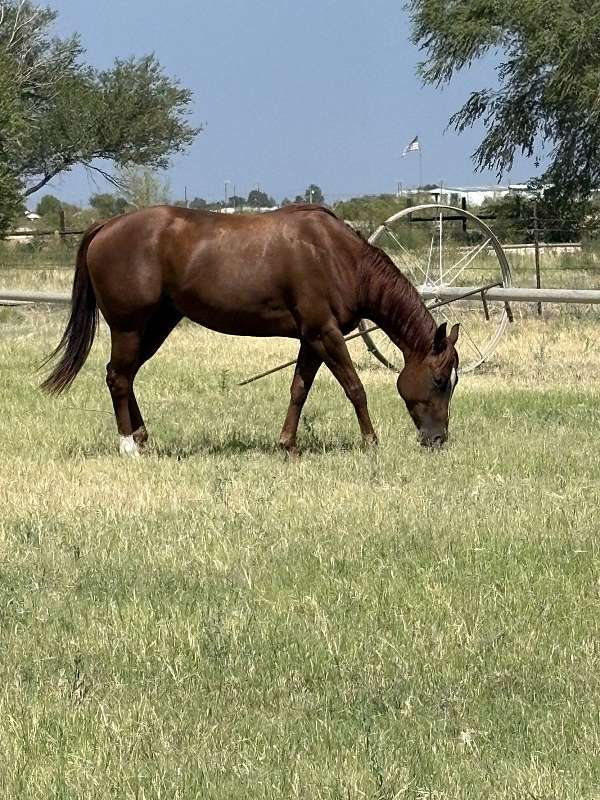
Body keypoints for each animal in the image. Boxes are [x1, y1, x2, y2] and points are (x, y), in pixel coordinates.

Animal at [41, 204, 459, 456]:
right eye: (440, 380)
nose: (438, 439)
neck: (337, 256)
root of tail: (106, 225)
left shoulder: (311, 338)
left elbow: (298, 390)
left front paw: (287, 444)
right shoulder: (325, 334)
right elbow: (354, 388)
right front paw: (371, 442)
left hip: (156, 325)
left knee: (126, 376)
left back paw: (142, 438)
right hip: (129, 327)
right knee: (117, 377)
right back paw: (129, 445)